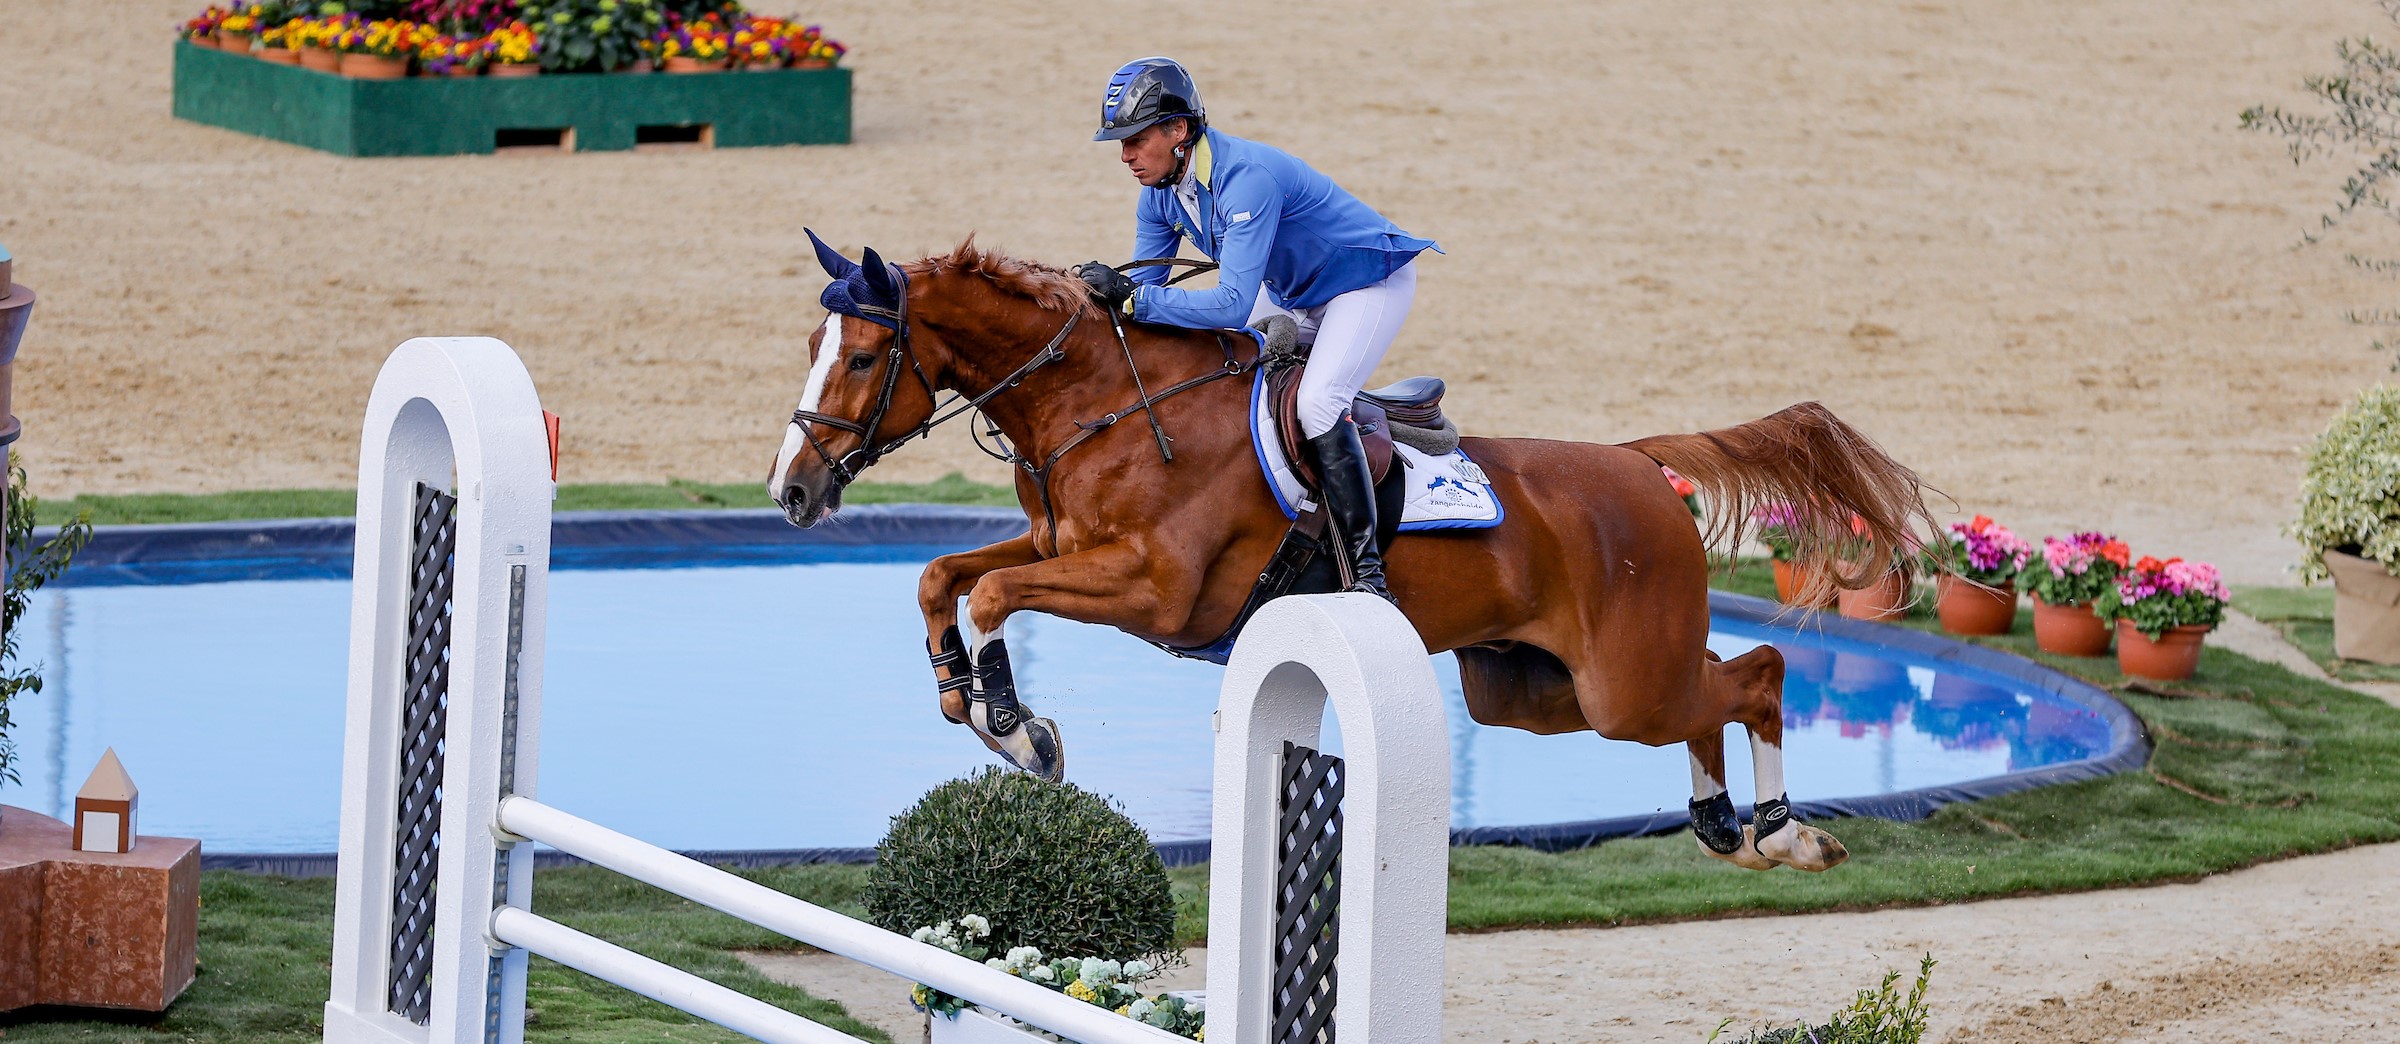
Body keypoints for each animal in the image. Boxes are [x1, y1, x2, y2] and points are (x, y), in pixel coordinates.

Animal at [777, 238, 1939, 873]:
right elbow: (947, 577)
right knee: (1715, 686)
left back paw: (1783, 834)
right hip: (1534, 689)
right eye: (812, 346)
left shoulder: (1152, 591)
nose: (792, 491)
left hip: (1621, 683)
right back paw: (1727, 828)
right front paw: (960, 696)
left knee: (1757, 676)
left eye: (867, 357)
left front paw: (1020, 732)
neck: (1102, 405)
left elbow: (995, 597)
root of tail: (1639, 467)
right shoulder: (1066, 546)